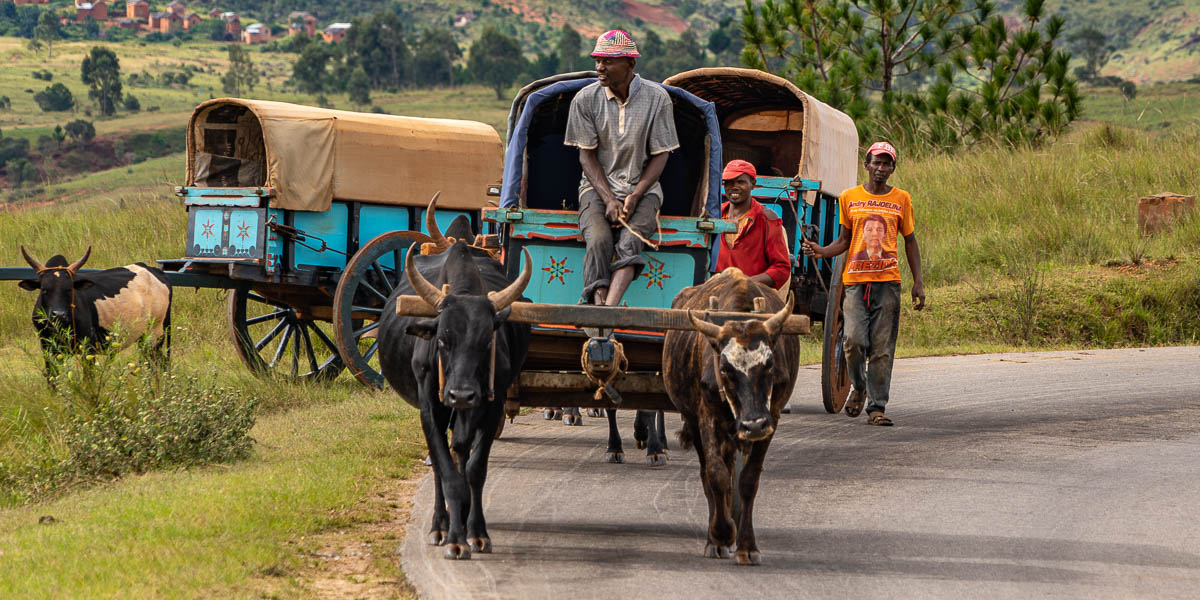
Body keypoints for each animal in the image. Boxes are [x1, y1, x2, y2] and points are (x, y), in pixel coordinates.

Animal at [17, 246, 174, 372]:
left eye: (69, 289)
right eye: (44, 289)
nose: (59, 314)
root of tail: (154, 271)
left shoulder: (88, 349)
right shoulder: (47, 347)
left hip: (156, 334)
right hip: (143, 337)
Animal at [376, 231, 532, 559]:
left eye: (487, 342)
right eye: (442, 340)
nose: (460, 395)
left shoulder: (491, 407)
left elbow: (474, 470)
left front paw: (477, 532)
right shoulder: (430, 409)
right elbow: (447, 474)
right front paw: (454, 538)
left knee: (460, 450)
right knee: (440, 464)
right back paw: (439, 525)